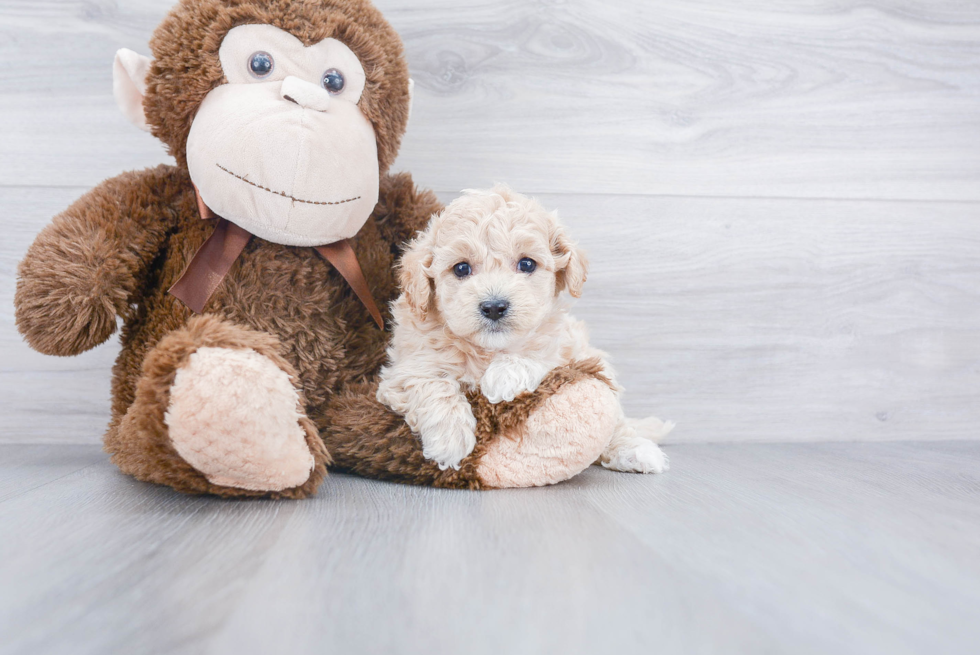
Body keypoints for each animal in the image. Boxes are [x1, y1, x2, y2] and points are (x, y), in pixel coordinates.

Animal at [378, 187, 672, 474]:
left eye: (527, 264)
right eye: (461, 268)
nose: (494, 307)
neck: (487, 351)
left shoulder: (565, 350)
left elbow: (538, 354)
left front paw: (503, 376)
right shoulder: (401, 371)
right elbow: (430, 381)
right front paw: (449, 438)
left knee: (617, 420)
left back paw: (635, 450)